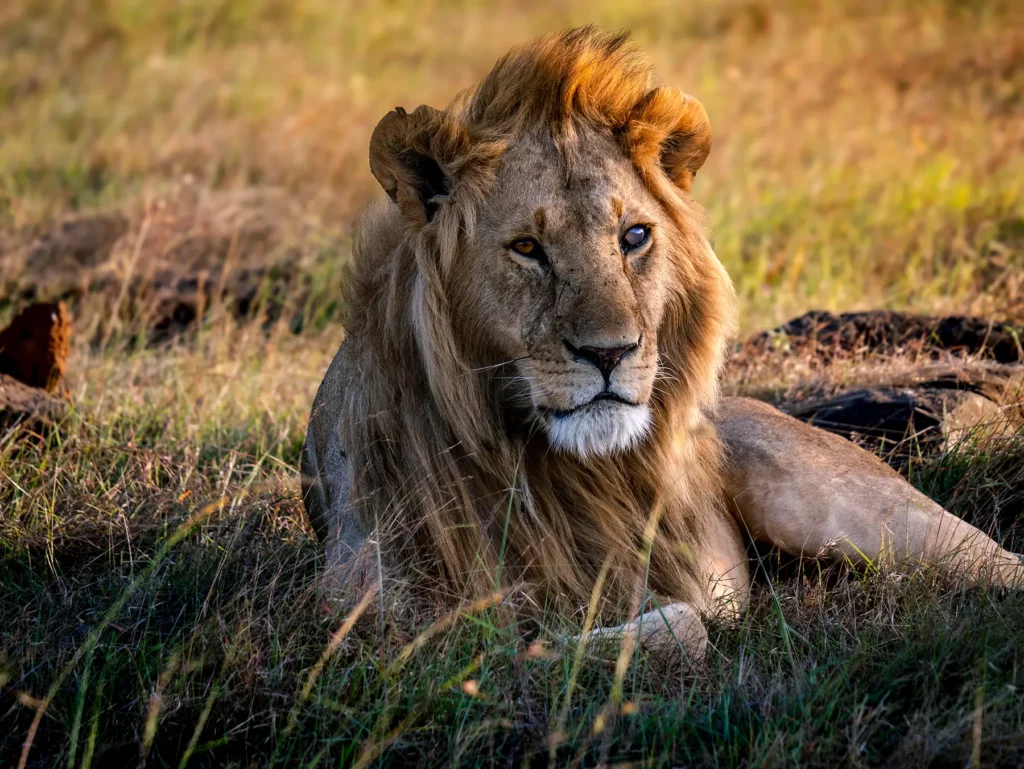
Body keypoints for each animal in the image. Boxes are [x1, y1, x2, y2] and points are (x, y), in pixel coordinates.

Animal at [302, 27, 1023, 657]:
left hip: (833, 502)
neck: (559, 469)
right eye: (528, 248)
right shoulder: (363, 607)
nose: (609, 353)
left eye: (634, 236)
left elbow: (685, 624)